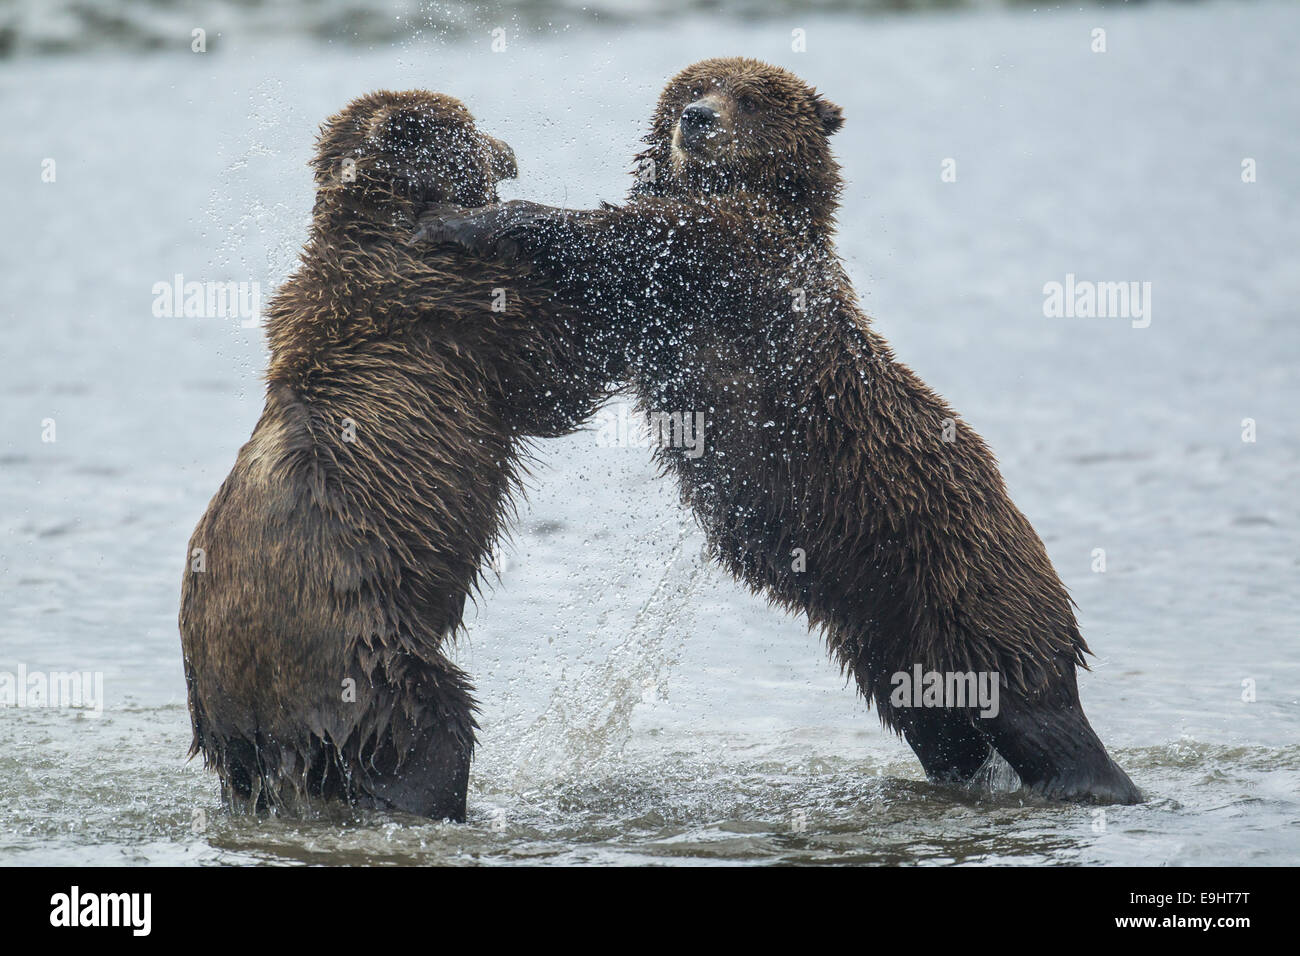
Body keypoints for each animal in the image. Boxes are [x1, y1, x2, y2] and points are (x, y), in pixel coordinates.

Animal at [182, 91, 624, 822]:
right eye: (469, 129)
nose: (507, 150)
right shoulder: (452, 310)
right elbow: (558, 372)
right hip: (362, 643)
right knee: (429, 726)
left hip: (226, 721)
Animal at [421, 57, 1144, 806]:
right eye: (689, 92)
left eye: (748, 98)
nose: (696, 121)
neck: (751, 192)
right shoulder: (663, 317)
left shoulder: (740, 261)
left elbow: (632, 239)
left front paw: (463, 220)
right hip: (890, 635)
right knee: (937, 721)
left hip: (969, 586)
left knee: (1031, 704)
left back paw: (1099, 780)